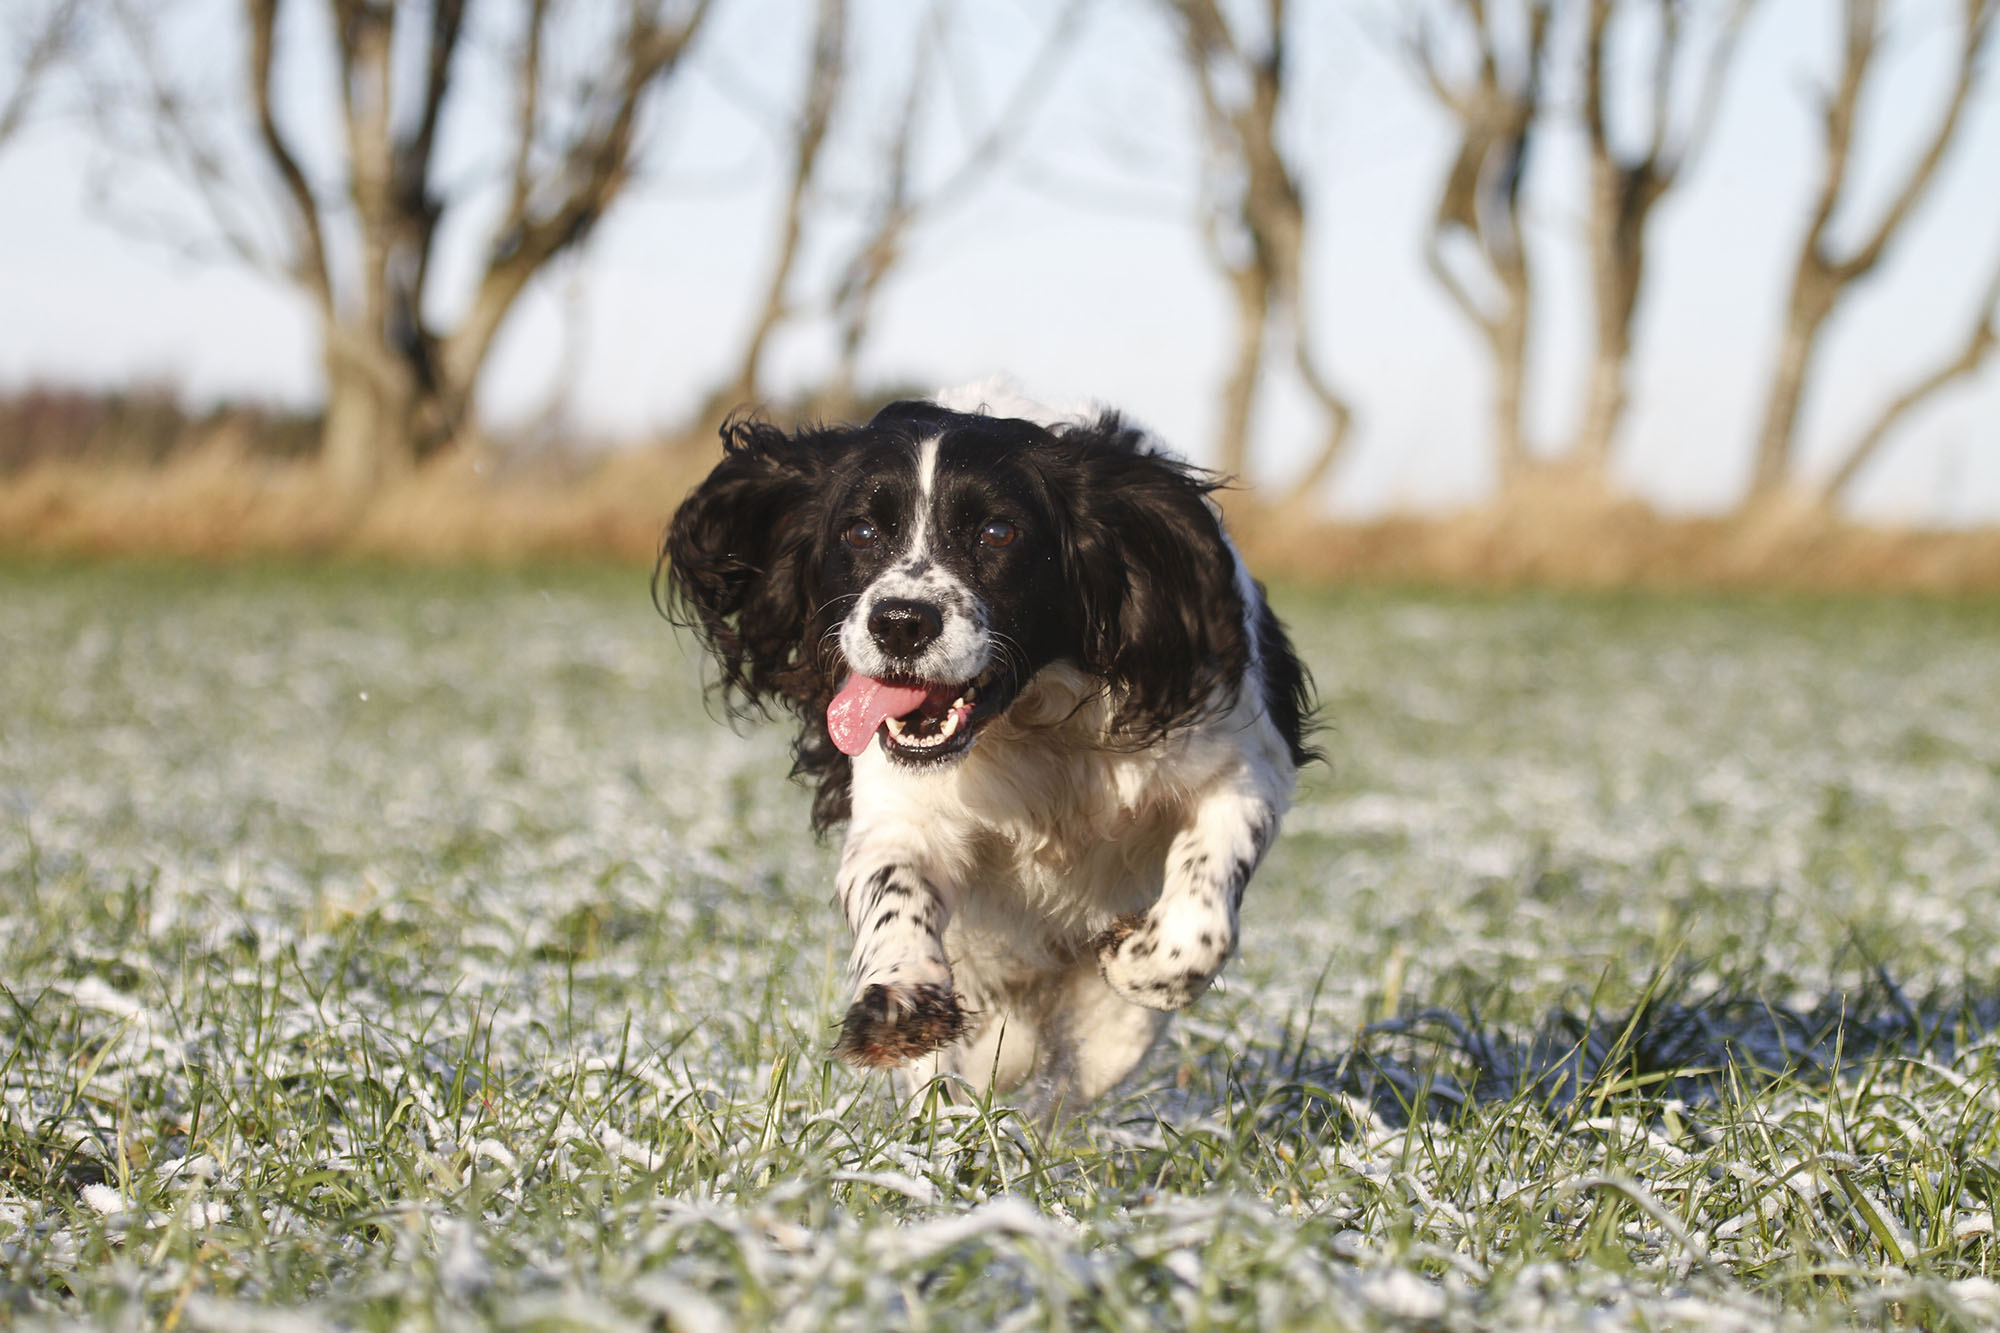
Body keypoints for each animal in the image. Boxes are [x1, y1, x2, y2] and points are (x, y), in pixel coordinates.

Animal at [662, 384, 1313, 1112]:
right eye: (860, 531)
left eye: (998, 533)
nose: (900, 622)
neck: (1036, 723)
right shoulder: (902, 808)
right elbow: (894, 886)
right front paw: (901, 999)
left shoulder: (1239, 765)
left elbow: (1199, 911)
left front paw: (1138, 960)